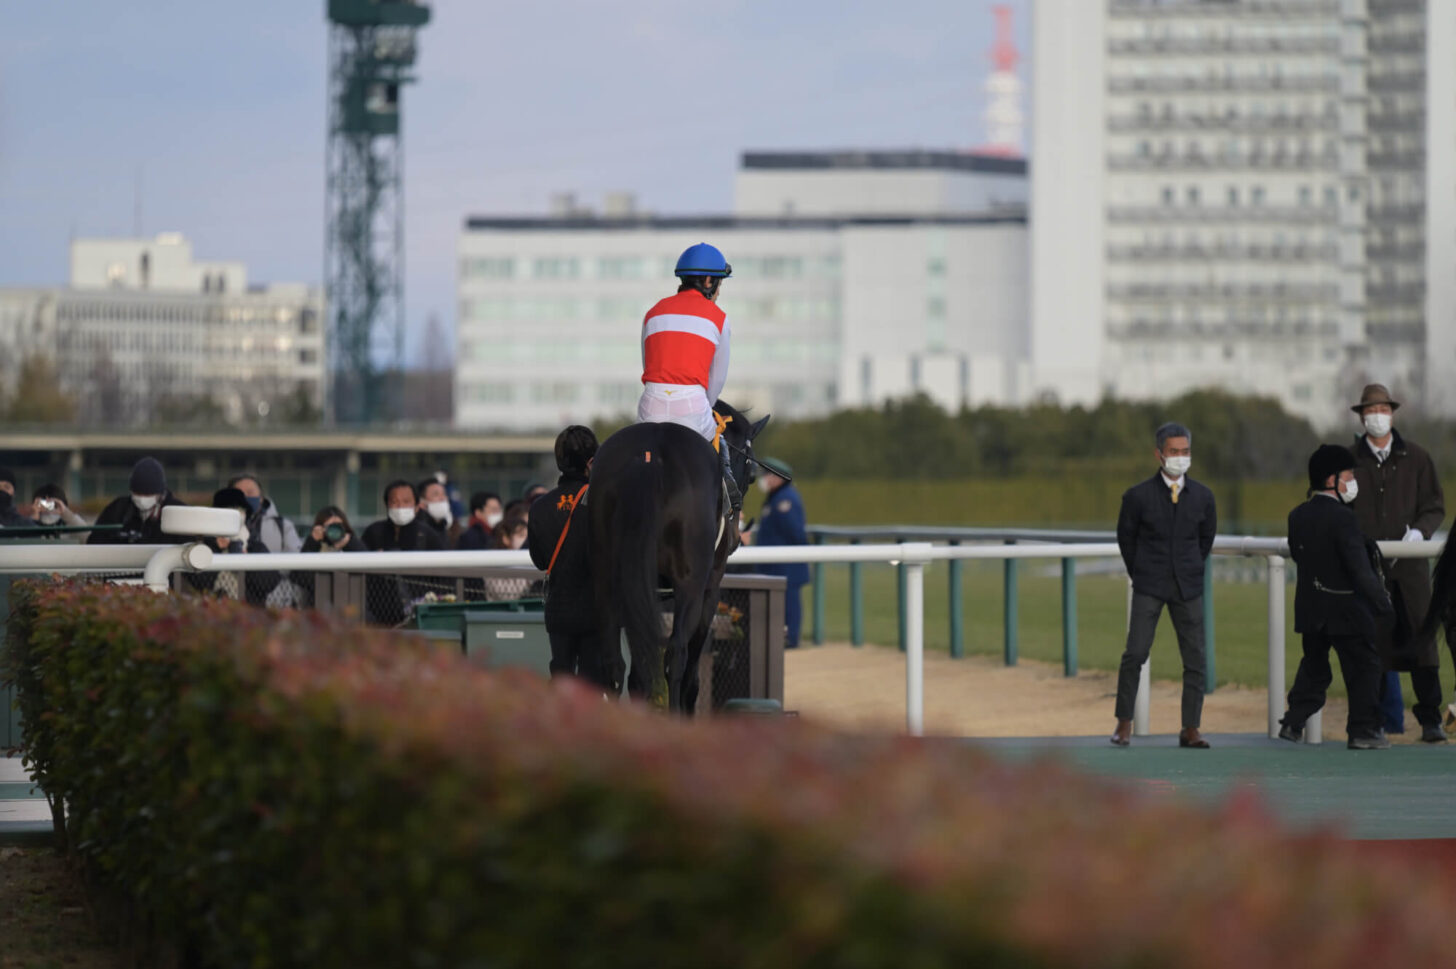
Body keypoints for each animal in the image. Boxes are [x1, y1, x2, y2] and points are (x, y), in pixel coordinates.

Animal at [585, 398, 768, 710]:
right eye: (753, 477)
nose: (735, 538)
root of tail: (649, 458)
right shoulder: (710, 592)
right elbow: (690, 669)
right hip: (689, 587)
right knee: (675, 657)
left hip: (609, 581)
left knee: (616, 663)